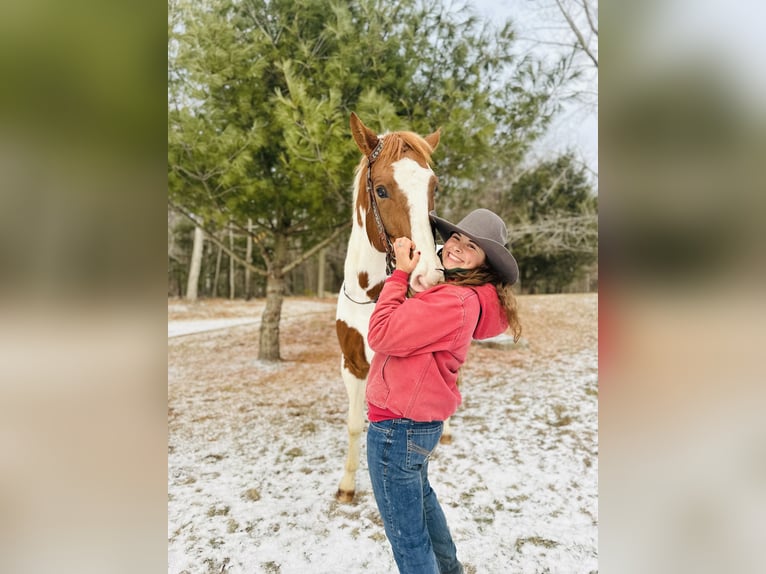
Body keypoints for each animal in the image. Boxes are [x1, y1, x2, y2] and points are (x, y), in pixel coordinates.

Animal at [334, 113, 448, 504]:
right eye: (381, 190)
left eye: (433, 187)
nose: (429, 275)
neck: (371, 295)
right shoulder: (352, 365)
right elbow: (355, 424)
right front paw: (347, 486)